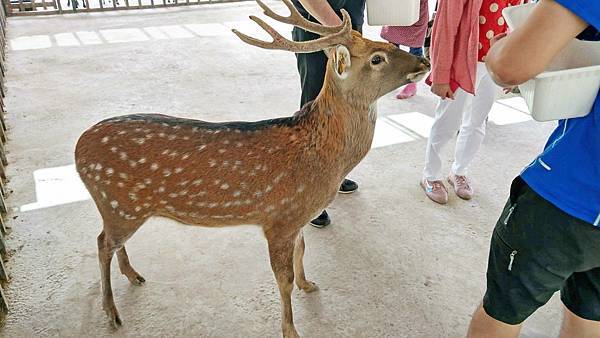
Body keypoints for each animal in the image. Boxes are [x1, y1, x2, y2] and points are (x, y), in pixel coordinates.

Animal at [75, 1, 432, 336]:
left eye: (382, 43)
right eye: (377, 58)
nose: (425, 63)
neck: (323, 158)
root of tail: (78, 149)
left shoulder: (296, 215)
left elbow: (302, 251)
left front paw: (308, 284)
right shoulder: (278, 218)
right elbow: (282, 278)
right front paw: (291, 329)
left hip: (121, 208)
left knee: (110, 241)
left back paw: (133, 275)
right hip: (120, 203)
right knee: (102, 243)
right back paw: (111, 311)